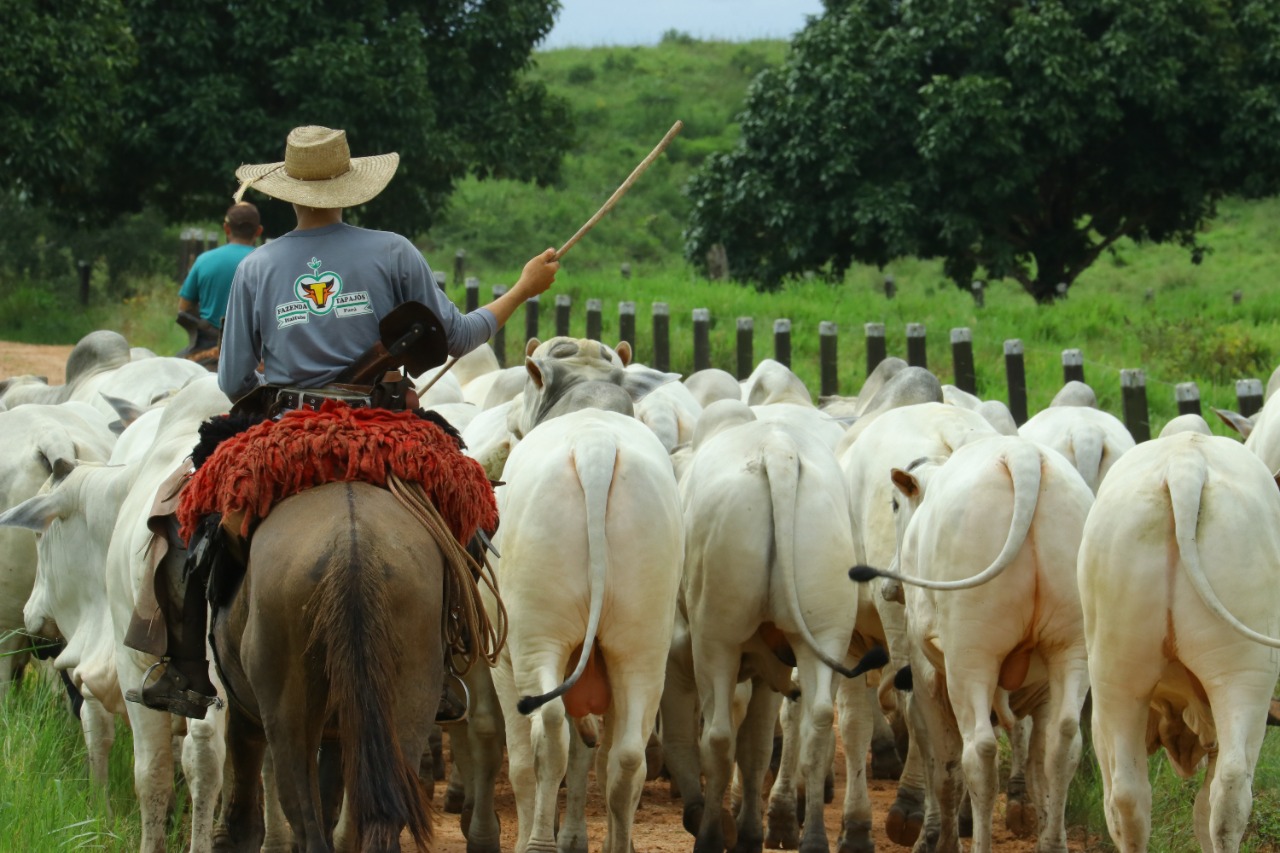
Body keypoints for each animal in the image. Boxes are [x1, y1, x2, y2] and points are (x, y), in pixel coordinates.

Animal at [211, 481, 445, 845]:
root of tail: (354, 547)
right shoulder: (340, 731)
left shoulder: (244, 714)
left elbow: (244, 819)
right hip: (410, 701)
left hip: (287, 712)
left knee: (305, 823)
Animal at [491, 407, 691, 850]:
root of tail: (594, 446)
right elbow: (600, 756)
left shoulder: (502, 663)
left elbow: (522, 767)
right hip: (642, 645)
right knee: (628, 757)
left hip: (537, 637)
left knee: (548, 734)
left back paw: (538, 843)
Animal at [860, 435, 1090, 850]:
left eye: (895, 504)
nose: (889, 586)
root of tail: (1023, 454)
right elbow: (1038, 768)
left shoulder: (926, 679)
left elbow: (945, 771)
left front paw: (940, 839)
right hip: (1072, 648)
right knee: (1063, 741)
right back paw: (1052, 843)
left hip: (971, 659)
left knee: (979, 753)